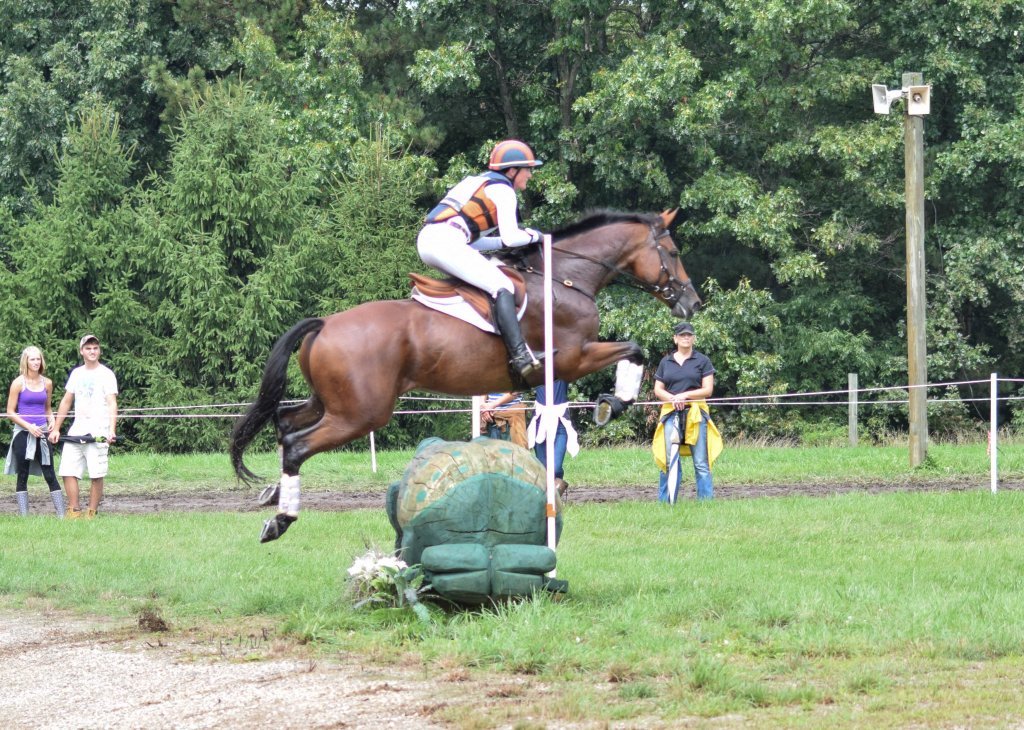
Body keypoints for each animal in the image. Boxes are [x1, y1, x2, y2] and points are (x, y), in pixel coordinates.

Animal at [230, 209, 701, 542]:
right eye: (675, 253)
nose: (692, 303)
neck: (565, 278)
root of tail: (324, 324)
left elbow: (633, 349)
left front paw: (610, 402)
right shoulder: (571, 358)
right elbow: (634, 348)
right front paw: (612, 403)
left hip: (332, 402)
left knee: (286, 422)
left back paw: (274, 494)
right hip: (361, 413)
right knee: (296, 442)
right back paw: (280, 520)